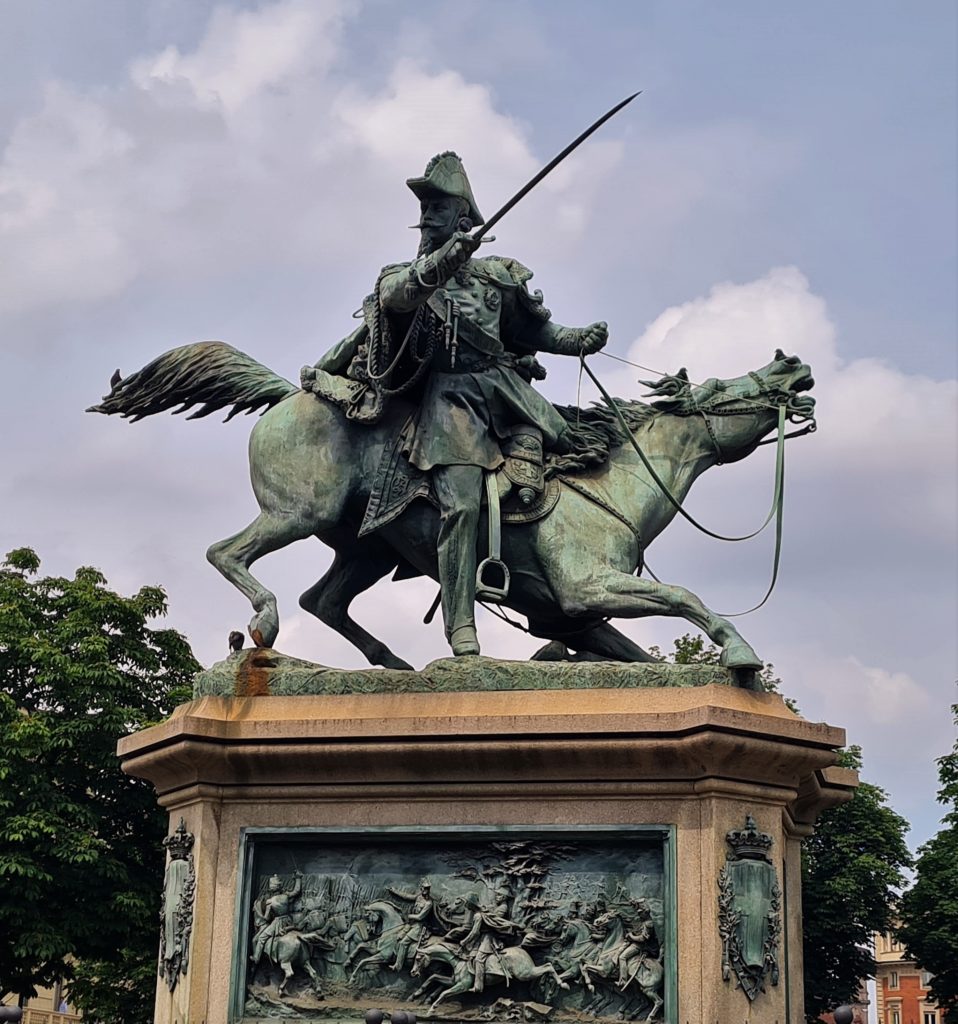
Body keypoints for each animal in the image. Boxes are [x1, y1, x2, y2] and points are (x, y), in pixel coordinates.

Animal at [90, 339, 814, 671]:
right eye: (721, 385)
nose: (792, 365)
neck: (614, 485)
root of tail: (289, 393)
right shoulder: (585, 589)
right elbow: (686, 597)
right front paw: (740, 652)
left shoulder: (571, 616)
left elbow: (634, 655)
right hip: (299, 514)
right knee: (229, 554)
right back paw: (266, 624)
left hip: (365, 549)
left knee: (322, 599)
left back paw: (395, 664)